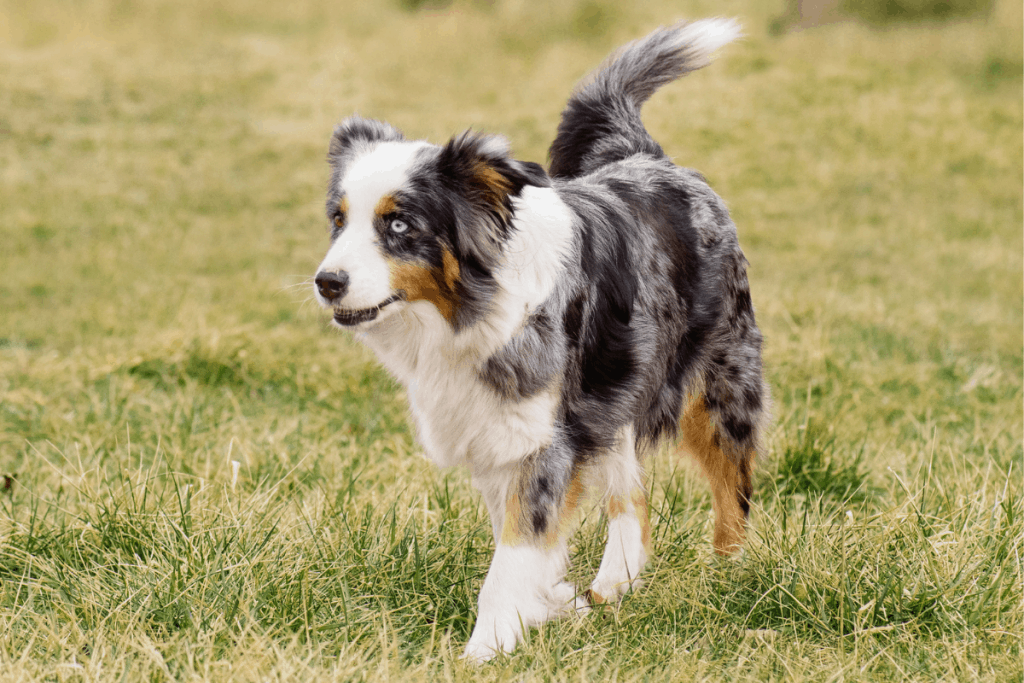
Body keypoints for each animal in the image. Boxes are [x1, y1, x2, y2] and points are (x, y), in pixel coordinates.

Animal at [311, 20, 770, 663]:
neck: (466, 315)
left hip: (720, 383)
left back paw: (728, 576)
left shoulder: (544, 441)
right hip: (612, 390)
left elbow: (512, 555)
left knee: (733, 487)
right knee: (633, 499)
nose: (327, 282)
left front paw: (485, 650)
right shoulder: (497, 430)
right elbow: (524, 541)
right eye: (338, 220)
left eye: (399, 224)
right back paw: (610, 589)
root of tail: (649, 157)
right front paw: (550, 601)